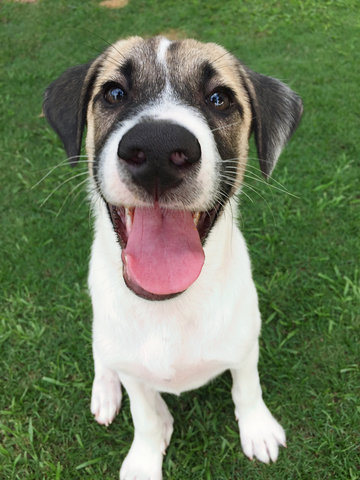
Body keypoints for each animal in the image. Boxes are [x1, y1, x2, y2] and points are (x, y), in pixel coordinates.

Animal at [43, 35, 304, 478]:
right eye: (114, 93)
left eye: (219, 98)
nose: (158, 149)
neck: (170, 307)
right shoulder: (132, 367)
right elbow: (145, 414)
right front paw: (145, 458)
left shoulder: (246, 339)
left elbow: (247, 386)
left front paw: (257, 429)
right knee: (103, 357)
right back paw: (106, 393)